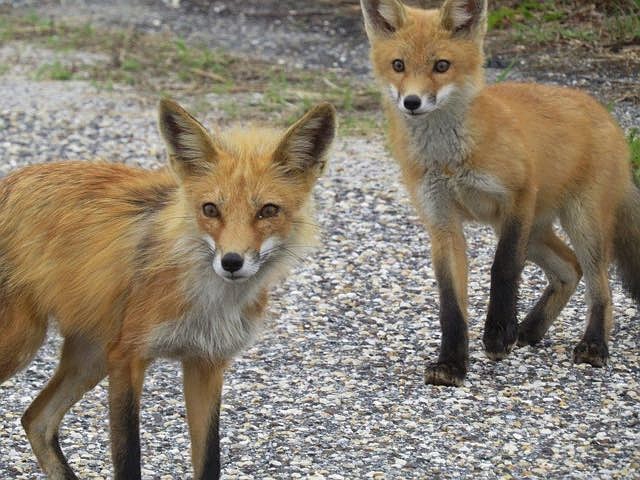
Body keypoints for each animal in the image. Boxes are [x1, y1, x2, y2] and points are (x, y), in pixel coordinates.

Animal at [0, 98, 338, 480]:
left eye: (268, 210)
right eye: (210, 209)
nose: (231, 261)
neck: (208, 303)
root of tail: (8, 180)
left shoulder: (206, 363)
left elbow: (209, 461)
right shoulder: (127, 357)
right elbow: (128, 459)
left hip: (90, 356)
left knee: (35, 420)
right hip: (23, 342)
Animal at [360, 0, 640, 386]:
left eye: (441, 65)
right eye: (398, 65)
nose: (412, 102)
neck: (450, 159)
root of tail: (606, 114)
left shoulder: (518, 197)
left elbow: (503, 267)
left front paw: (497, 332)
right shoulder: (441, 222)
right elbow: (450, 303)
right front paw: (452, 362)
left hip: (581, 224)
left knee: (601, 286)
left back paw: (593, 344)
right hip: (535, 234)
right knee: (570, 269)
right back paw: (530, 330)